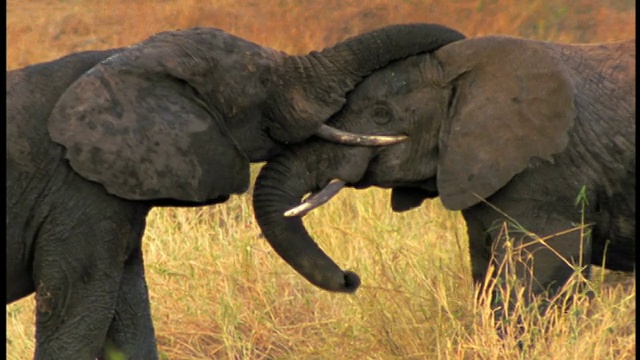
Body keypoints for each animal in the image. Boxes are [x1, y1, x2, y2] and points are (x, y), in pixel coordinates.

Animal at [7, 23, 468, 358]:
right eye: (264, 81)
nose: (350, 277)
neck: (124, 57)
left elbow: (128, 313)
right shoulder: (77, 190)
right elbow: (78, 310)